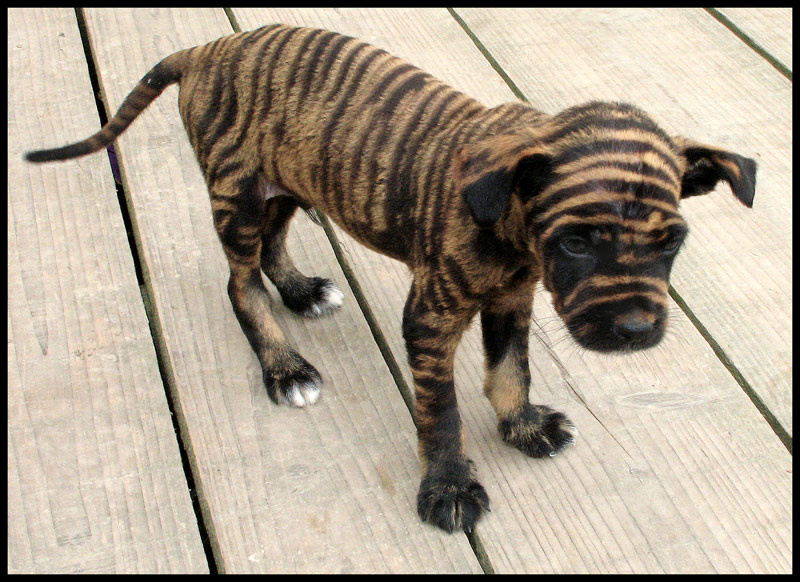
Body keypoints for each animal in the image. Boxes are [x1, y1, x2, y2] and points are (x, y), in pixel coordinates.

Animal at [25, 23, 756, 535]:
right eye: (575, 241)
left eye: (672, 242)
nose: (635, 331)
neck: (509, 219)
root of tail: (210, 48)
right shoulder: (430, 318)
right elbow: (442, 413)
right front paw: (450, 488)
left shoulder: (512, 300)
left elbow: (511, 371)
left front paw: (522, 426)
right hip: (238, 195)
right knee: (239, 283)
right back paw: (283, 366)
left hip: (287, 181)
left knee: (273, 247)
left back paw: (301, 292)